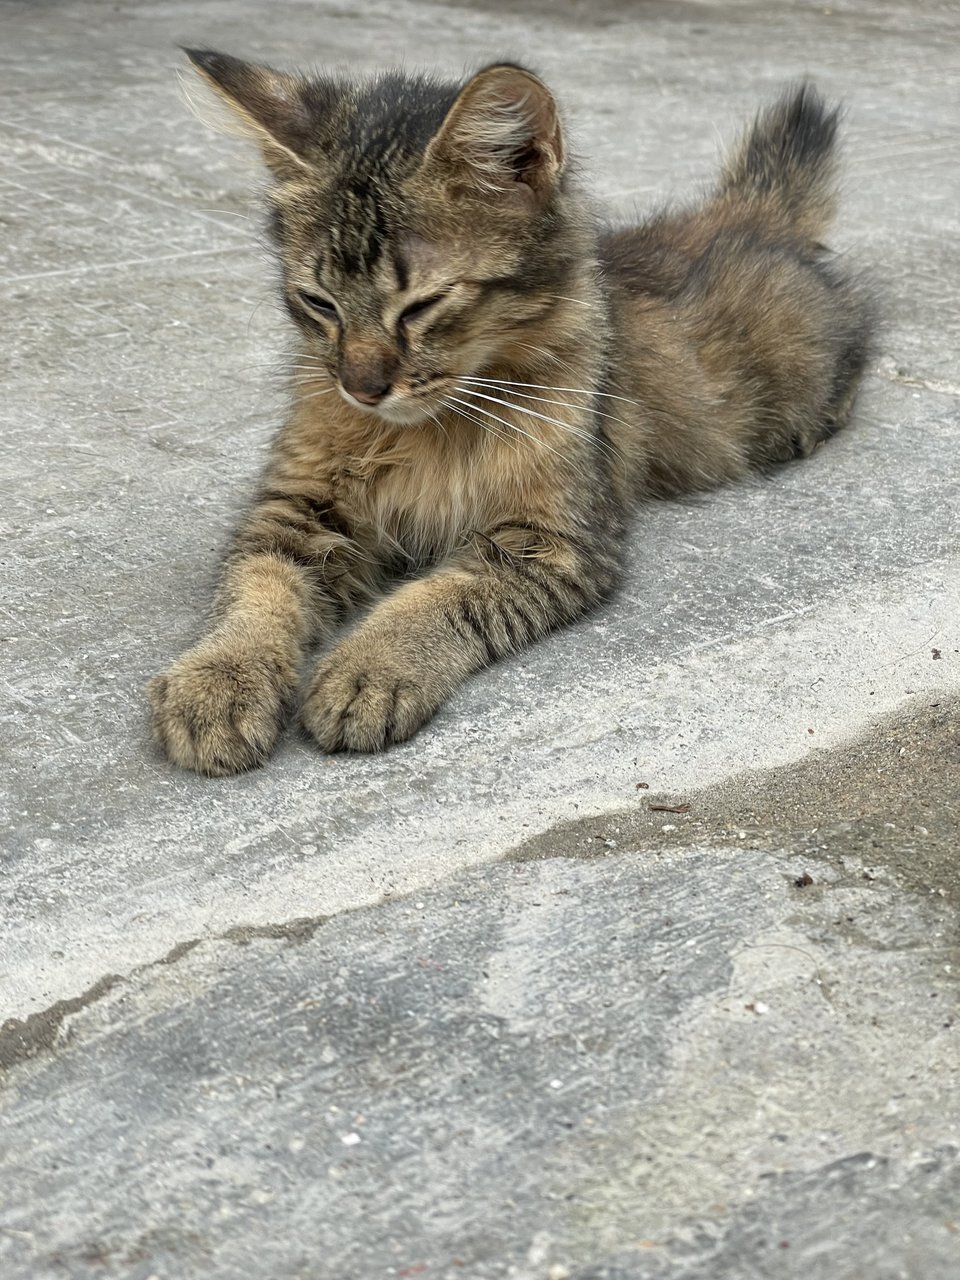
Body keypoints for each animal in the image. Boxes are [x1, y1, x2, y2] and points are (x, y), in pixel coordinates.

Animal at [148, 49, 870, 773]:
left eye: (421, 306)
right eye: (318, 302)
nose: (361, 388)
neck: (431, 430)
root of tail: (749, 212)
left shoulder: (552, 540)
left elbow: (439, 599)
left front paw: (371, 670)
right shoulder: (298, 508)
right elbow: (256, 589)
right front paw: (220, 679)